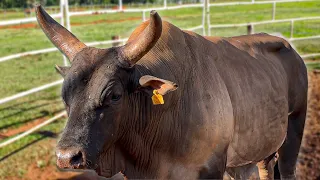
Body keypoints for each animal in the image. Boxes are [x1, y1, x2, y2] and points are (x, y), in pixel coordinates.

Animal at [35, 4, 308, 179]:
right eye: (65, 95)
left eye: (114, 95)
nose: (67, 157)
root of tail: (292, 51)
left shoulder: (211, 169)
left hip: (294, 130)